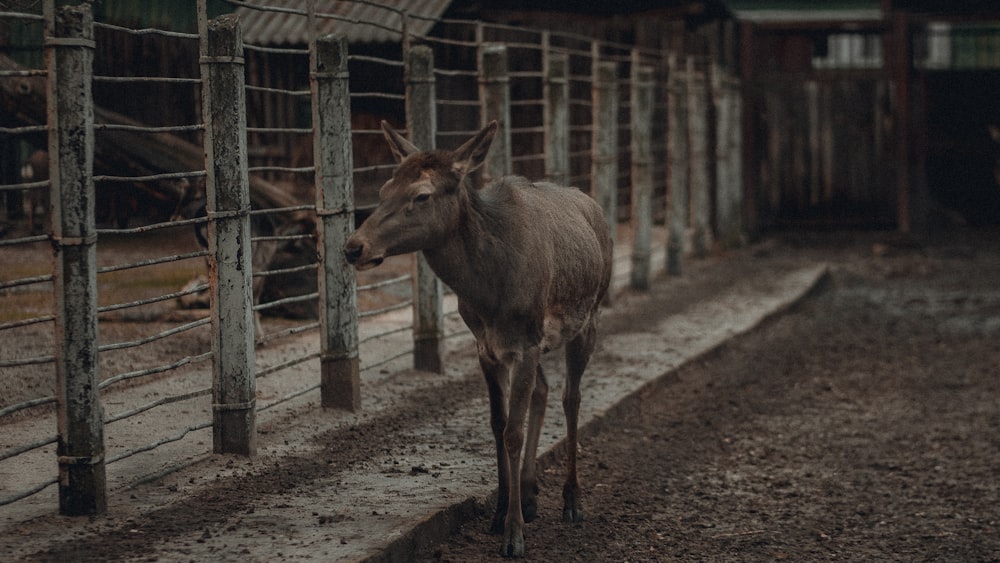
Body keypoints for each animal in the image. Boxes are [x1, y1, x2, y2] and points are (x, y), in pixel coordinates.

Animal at [348, 121, 612, 556]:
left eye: (421, 195)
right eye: (384, 189)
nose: (354, 247)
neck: (489, 294)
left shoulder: (525, 342)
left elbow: (513, 432)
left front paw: (513, 536)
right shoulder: (489, 347)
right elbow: (496, 423)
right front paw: (500, 512)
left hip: (589, 317)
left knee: (571, 397)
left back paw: (572, 501)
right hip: (540, 342)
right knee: (544, 390)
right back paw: (530, 494)